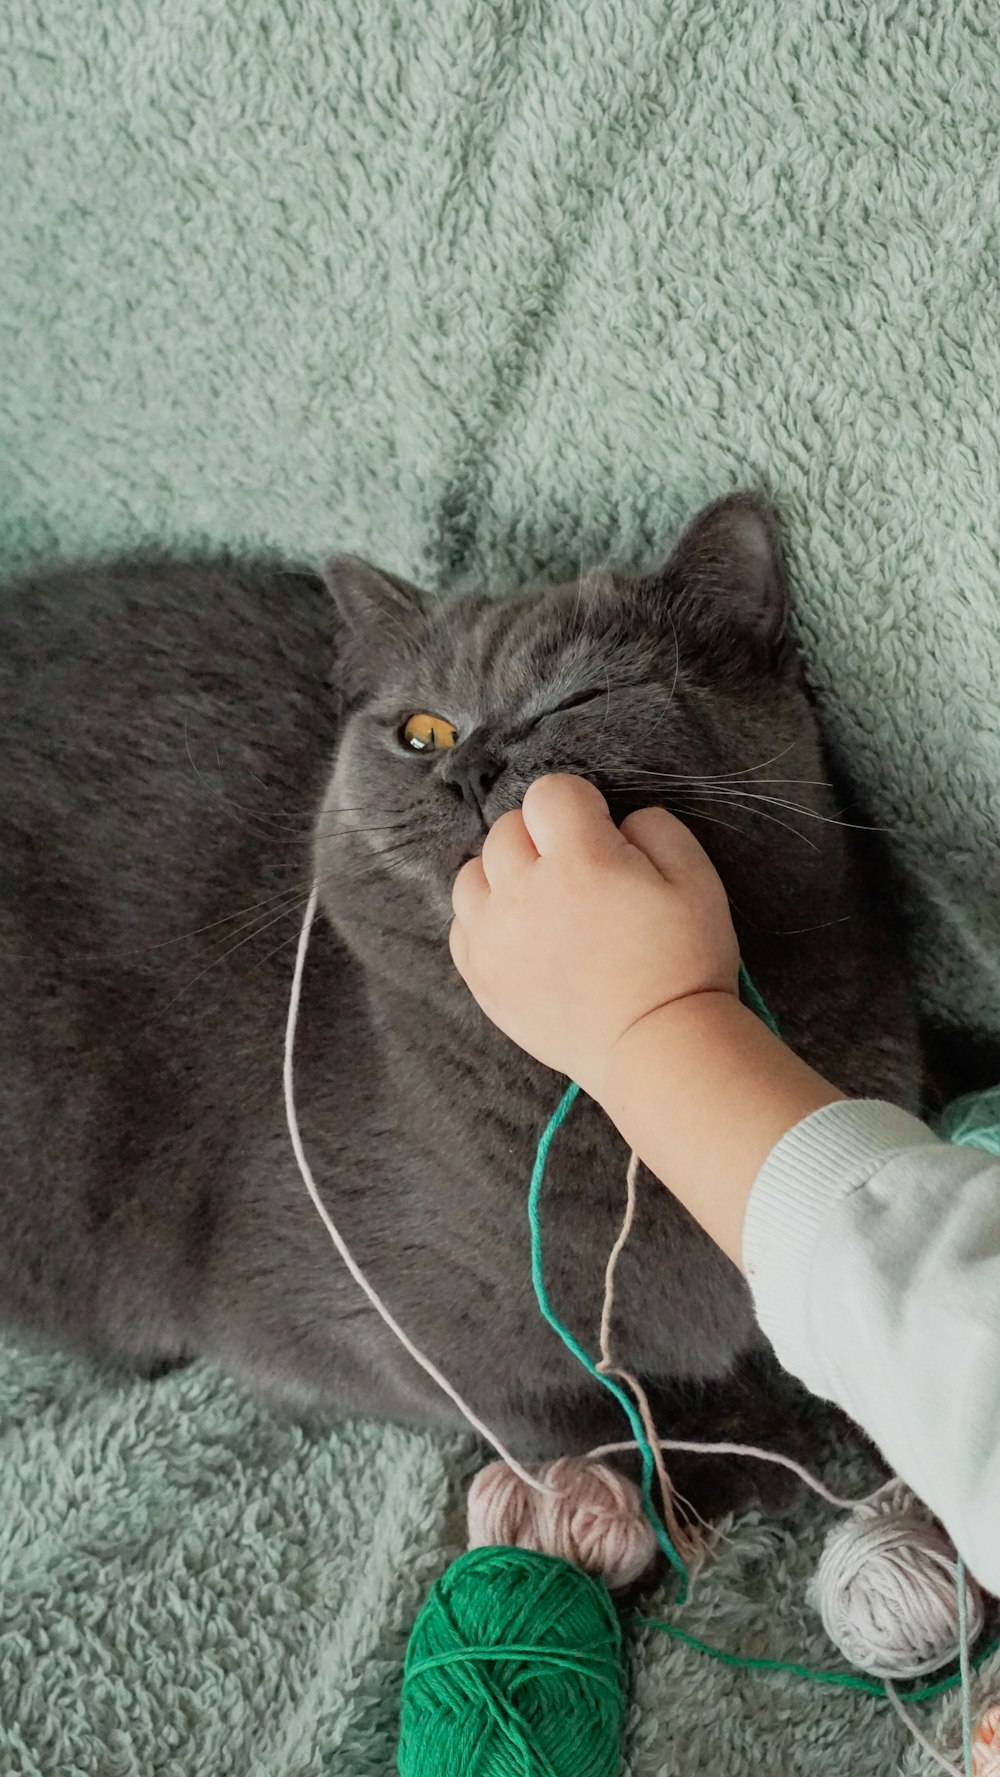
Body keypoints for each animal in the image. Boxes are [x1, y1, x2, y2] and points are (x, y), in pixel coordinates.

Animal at [0, 497, 923, 1514]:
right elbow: (560, 1415)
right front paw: (730, 1463)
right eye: (422, 732)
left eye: (578, 701)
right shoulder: (336, 1333)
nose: (471, 765)